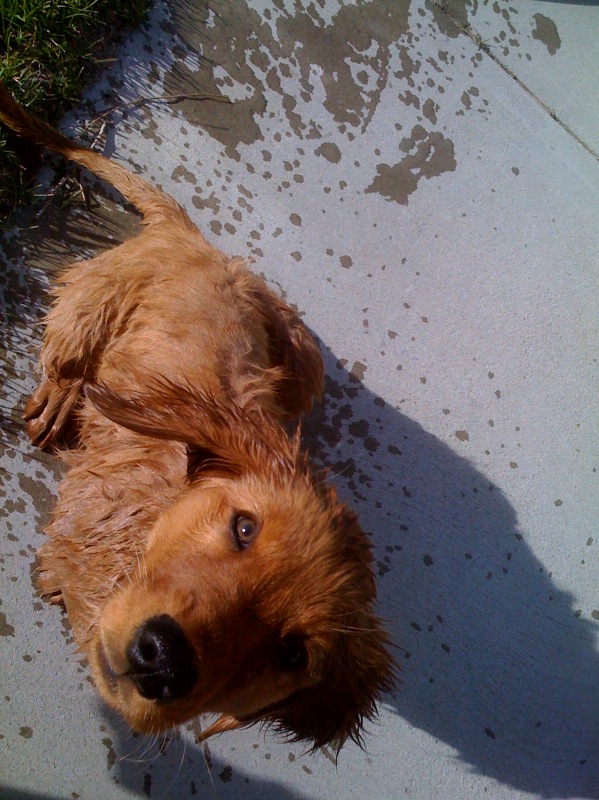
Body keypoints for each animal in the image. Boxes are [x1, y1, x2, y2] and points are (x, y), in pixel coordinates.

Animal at [1, 81, 398, 752]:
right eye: (244, 527)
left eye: (293, 655)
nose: (162, 659)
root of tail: (198, 240)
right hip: (102, 293)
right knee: (71, 340)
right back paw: (60, 392)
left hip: (303, 359)